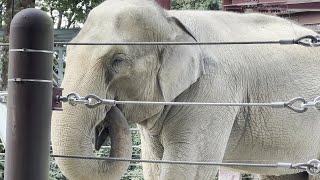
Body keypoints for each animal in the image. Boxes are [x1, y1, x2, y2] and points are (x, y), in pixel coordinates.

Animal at [50, 0, 320, 179]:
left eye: (118, 60)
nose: (107, 107)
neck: (173, 21)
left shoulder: (214, 90)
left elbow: (188, 165)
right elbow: (154, 165)